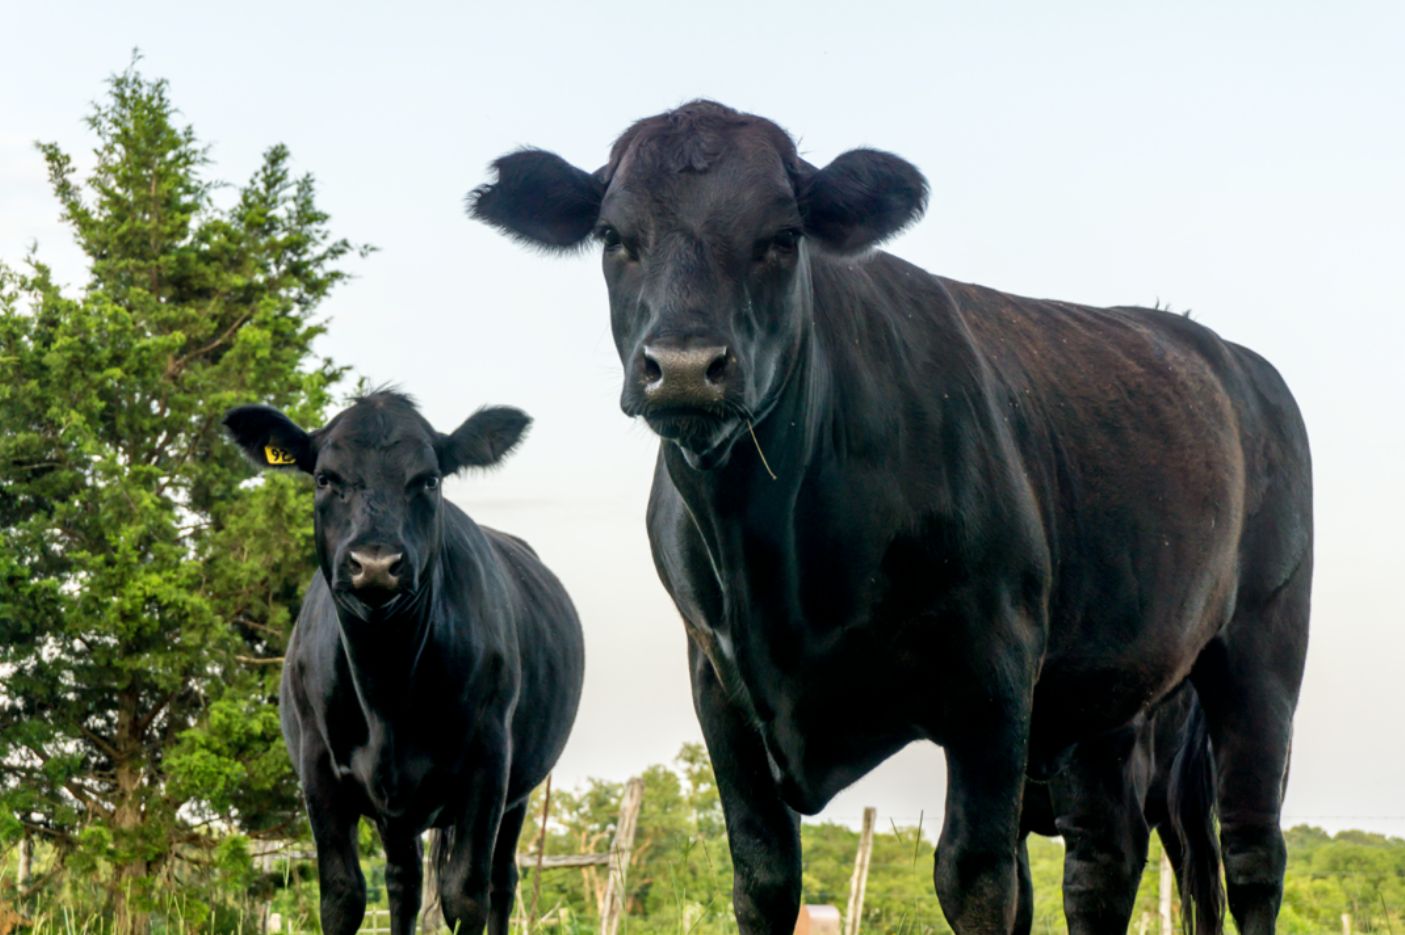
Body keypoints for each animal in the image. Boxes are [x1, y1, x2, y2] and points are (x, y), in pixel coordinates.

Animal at [226, 390, 587, 933]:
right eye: (324, 478)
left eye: (429, 480)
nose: (375, 564)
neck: (387, 692)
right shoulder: (317, 770)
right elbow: (342, 896)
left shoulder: (489, 764)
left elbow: (465, 895)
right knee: (404, 883)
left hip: (521, 790)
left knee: (501, 882)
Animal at [474, 101, 1315, 933]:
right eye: (614, 237)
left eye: (782, 237)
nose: (682, 367)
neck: (774, 560)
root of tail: (1228, 356)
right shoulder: (718, 686)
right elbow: (763, 875)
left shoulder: (992, 675)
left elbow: (976, 879)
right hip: (1109, 694)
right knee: (1102, 865)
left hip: (1261, 651)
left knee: (1247, 853)